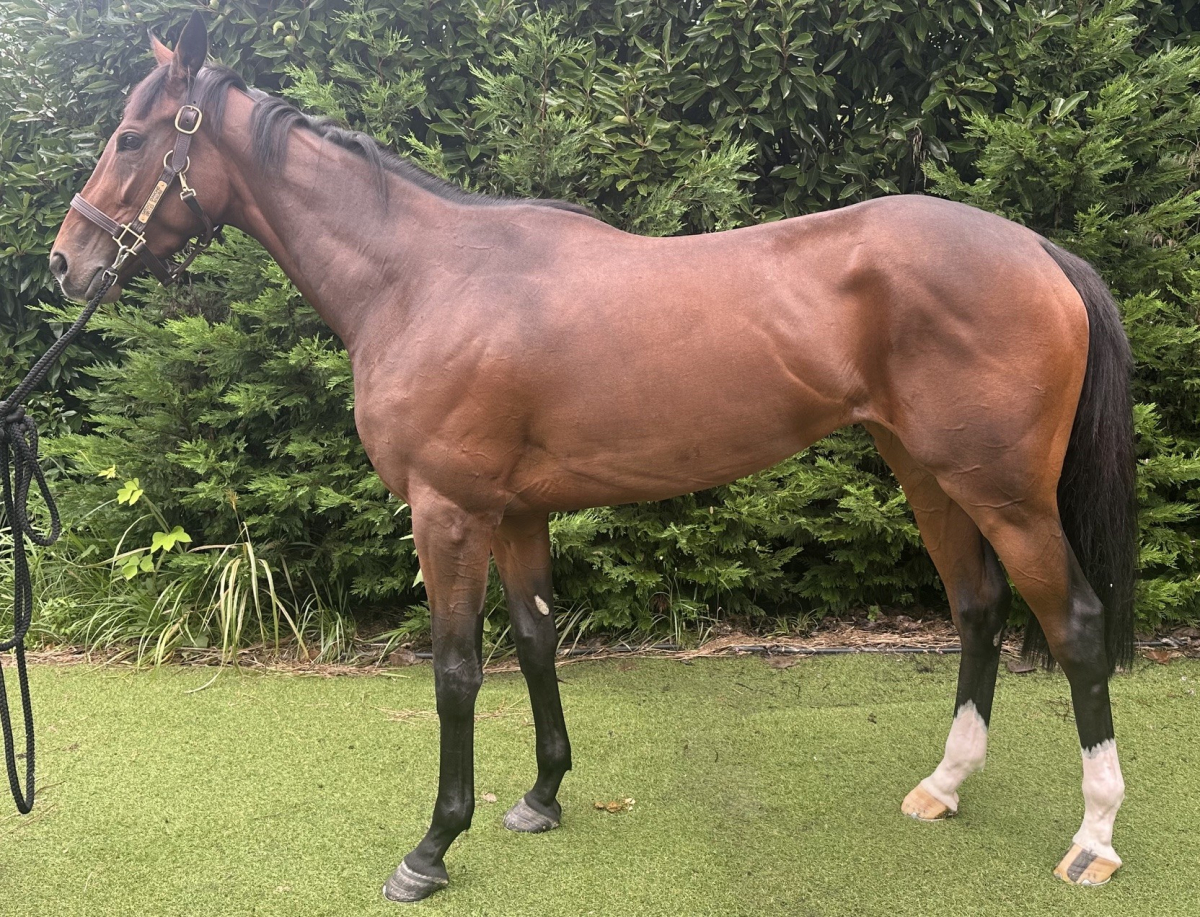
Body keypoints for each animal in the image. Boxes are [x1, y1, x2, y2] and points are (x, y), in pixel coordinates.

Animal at [51, 14, 1136, 900]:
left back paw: (1093, 837)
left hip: (1005, 491)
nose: (68, 260)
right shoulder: (515, 510)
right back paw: (944, 785)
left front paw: (431, 847)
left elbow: (456, 669)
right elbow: (536, 639)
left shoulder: (447, 509)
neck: (424, 276)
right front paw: (540, 796)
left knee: (1075, 624)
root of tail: (1039, 251)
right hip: (928, 473)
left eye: (132, 138)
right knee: (979, 606)